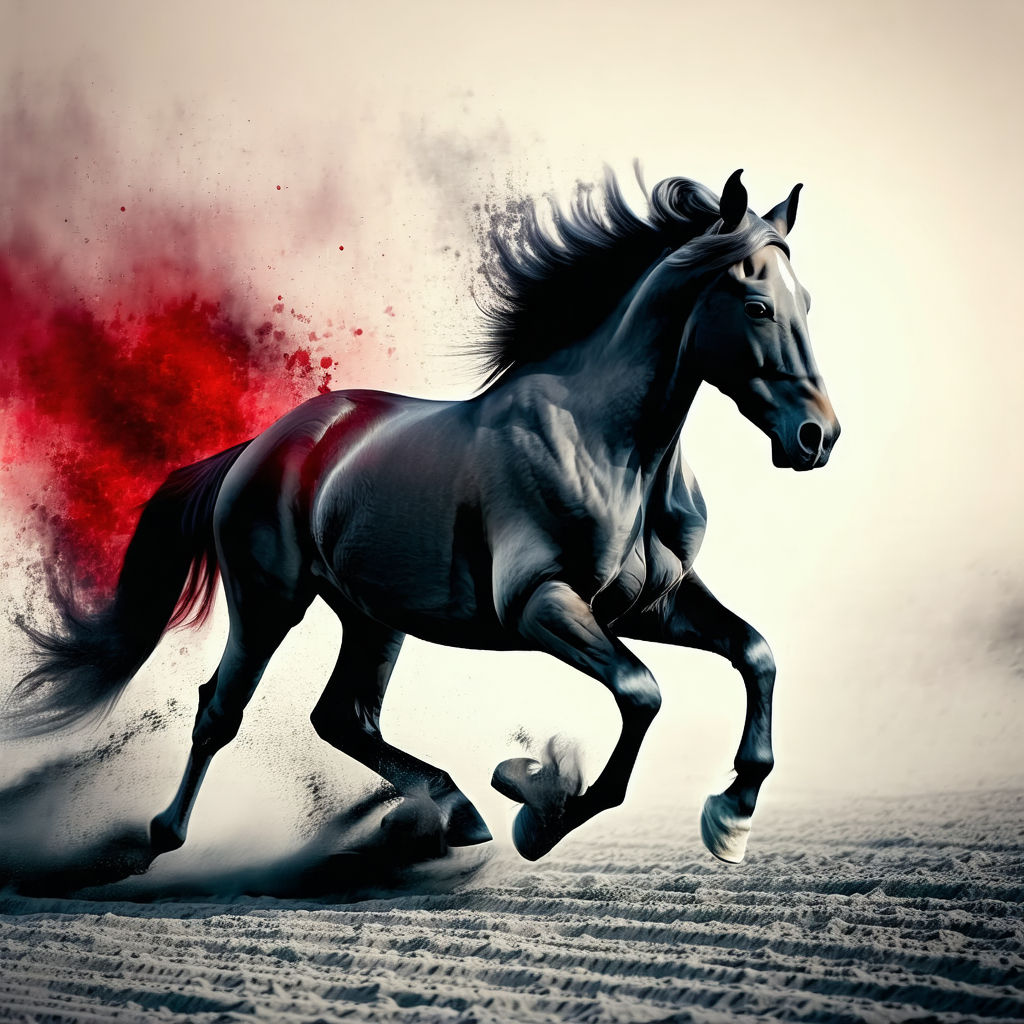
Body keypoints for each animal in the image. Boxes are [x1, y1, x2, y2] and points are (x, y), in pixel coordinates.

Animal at [12, 168, 839, 867]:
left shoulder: (651, 604)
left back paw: (456, 813)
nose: (816, 437)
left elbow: (756, 654)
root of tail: (261, 444)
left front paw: (730, 816)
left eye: (808, 304)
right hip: (270, 599)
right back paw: (156, 841)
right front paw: (538, 805)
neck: (615, 450)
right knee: (222, 709)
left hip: (374, 616)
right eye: (758, 306)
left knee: (343, 716)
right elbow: (642, 692)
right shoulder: (541, 605)